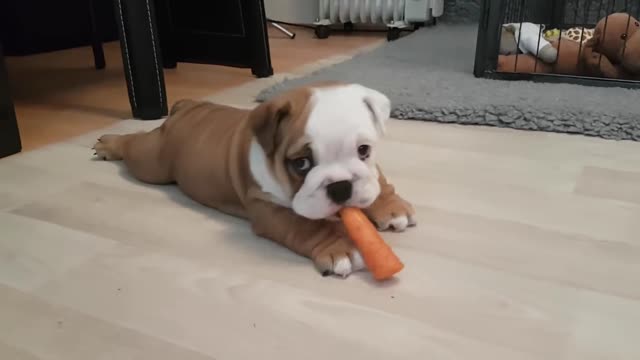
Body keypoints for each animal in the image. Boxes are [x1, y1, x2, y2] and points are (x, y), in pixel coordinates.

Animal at [94, 83, 416, 278]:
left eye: (364, 150)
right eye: (301, 163)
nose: (340, 187)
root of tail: (186, 108)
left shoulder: (370, 169)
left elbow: (378, 179)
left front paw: (390, 207)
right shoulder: (268, 209)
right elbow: (306, 225)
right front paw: (339, 246)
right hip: (152, 163)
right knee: (135, 145)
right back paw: (110, 144)